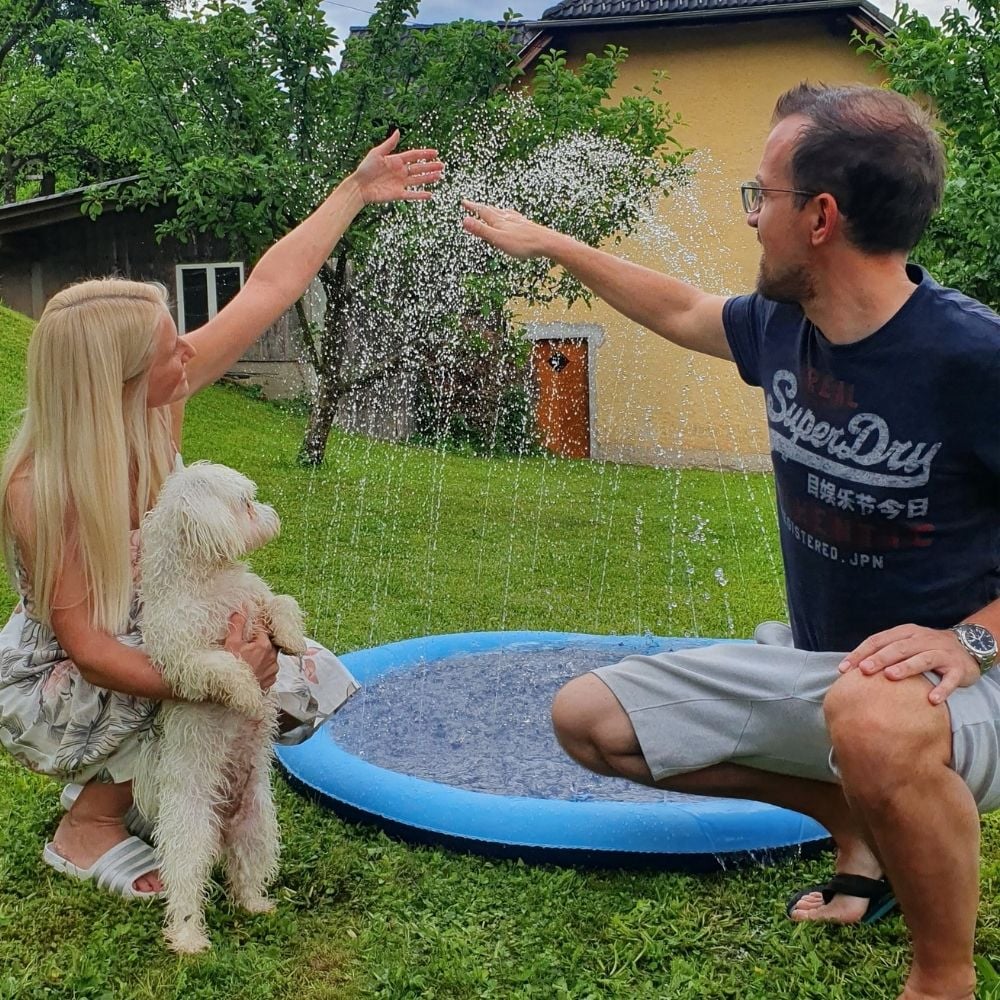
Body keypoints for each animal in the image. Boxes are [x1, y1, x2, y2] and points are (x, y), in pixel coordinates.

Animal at [134, 460, 304, 952]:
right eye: (246, 503)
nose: (270, 512)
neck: (211, 582)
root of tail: (222, 820)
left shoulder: (257, 599)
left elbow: (281, 603)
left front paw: (294, 638)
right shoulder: (182, 658)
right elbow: (223, 665)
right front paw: (247, 692)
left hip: (257, 825)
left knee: (244, 872)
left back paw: (255, 904)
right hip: (189, 834)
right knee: (186, 886)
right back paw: (189, 939)